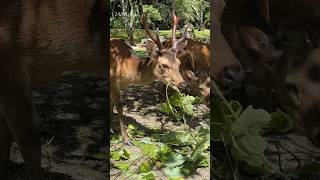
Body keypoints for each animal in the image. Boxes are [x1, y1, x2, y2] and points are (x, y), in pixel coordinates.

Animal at [109, 4, 188, 144]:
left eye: (178, 62)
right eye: (164, 65)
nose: (182, 84)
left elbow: (111, 104)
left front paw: (111, 128)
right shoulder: (112, 80)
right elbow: (119, 106)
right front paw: (126, 138)